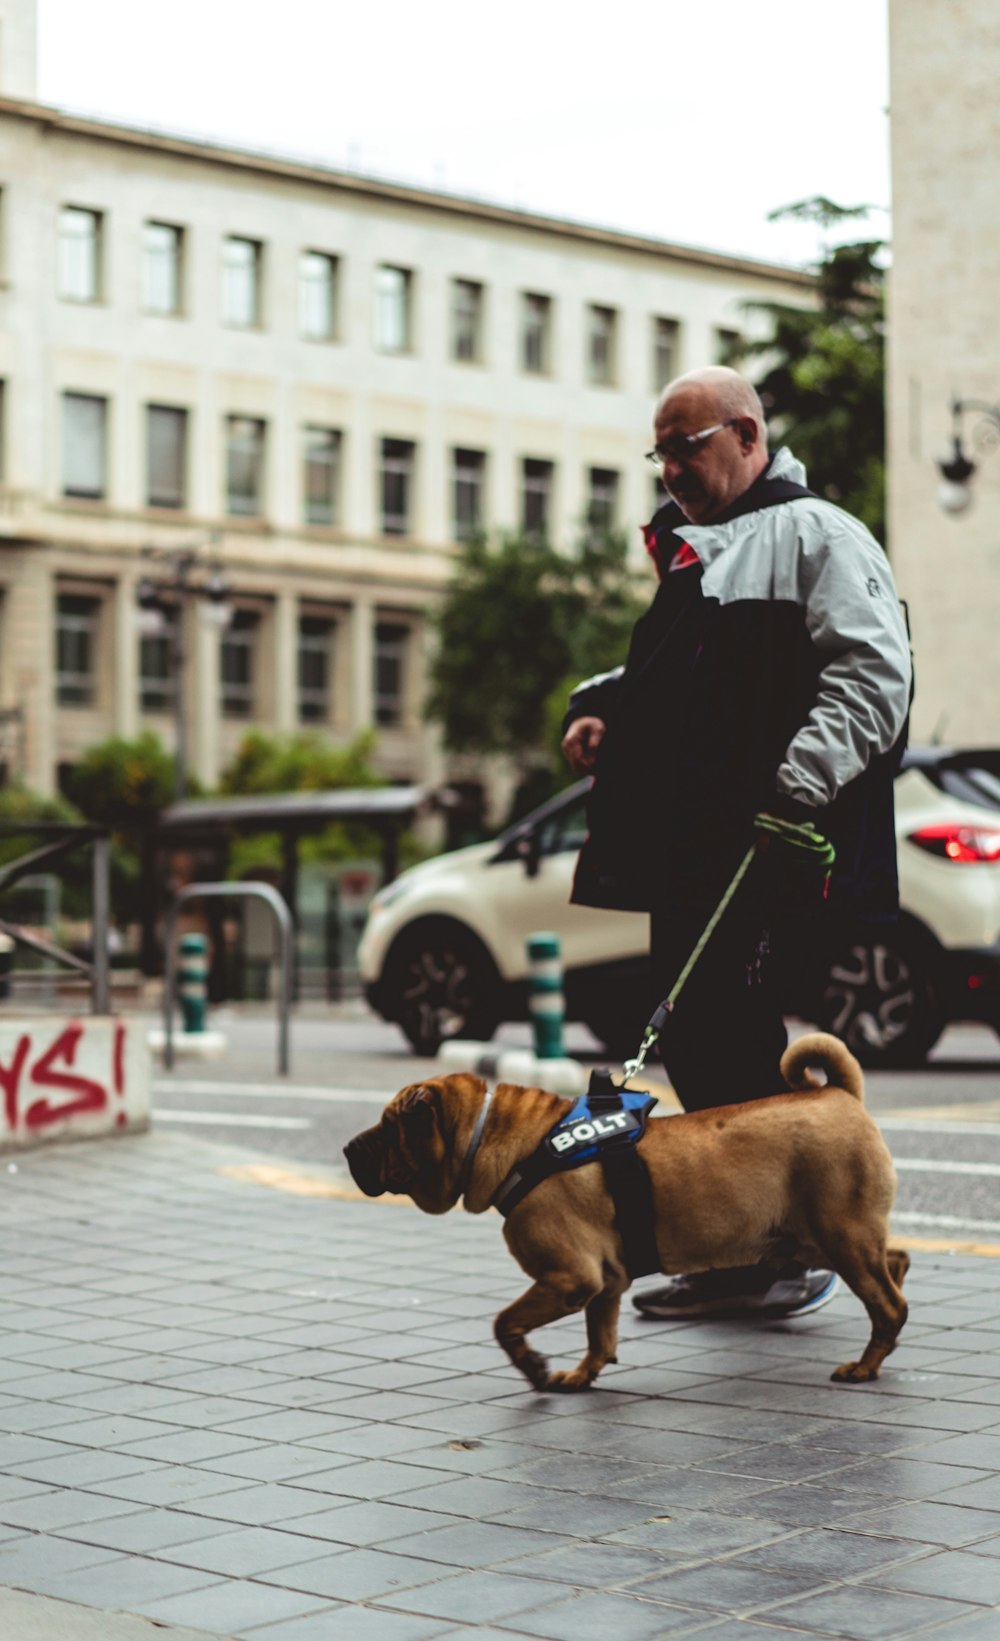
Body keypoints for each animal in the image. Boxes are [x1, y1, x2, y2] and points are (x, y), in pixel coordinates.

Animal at [341, 1030, 906, 1391]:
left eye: (388, 1129)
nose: (348, 1148)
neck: (503, 1137)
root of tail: (840, 1094)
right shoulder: (605, 1279)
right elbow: (600, 1332)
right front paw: (582, 1374)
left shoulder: (569, 1277)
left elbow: (505, 1322)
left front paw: (533, 1367)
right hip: (816, 1238)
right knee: (895, 1262)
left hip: (839, 1235)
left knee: (889, 1303)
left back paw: (865, 1366)